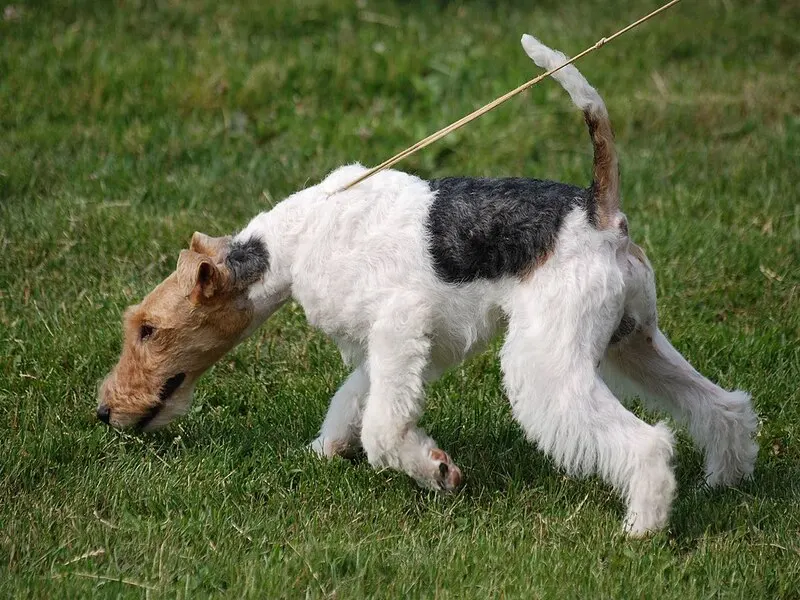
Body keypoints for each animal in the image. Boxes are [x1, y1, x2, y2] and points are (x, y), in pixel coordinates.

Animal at [97, 36, 760, 536]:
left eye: (148, 329)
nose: (105, 411)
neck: (289, 245)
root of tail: (600, 212)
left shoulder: (400, 324)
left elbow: (382, 429)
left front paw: (434, 470)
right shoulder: (406, 345)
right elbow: (354, 401)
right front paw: (324, 450)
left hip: (547, 359)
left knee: (645, 443)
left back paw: (643, 528)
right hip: (633, 339)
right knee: (720, 406)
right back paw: (725, 481)